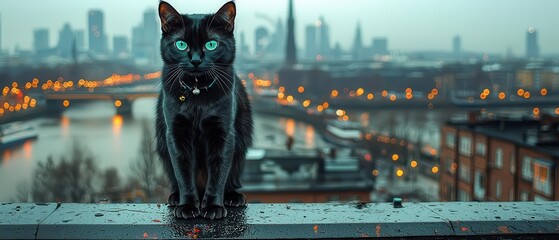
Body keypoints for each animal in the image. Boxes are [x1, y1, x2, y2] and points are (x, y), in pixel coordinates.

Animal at [156, 0, 255, 220]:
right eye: (181, 44)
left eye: (211, 44)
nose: (195, 60)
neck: (197, 92)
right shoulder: (175, 134)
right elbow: (183, 172)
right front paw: (186, 205)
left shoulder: (223, 133)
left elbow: (218, 172)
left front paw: (213, 206)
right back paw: (175, 198)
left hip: (240, 147)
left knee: (230, 178)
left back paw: (233, 197)